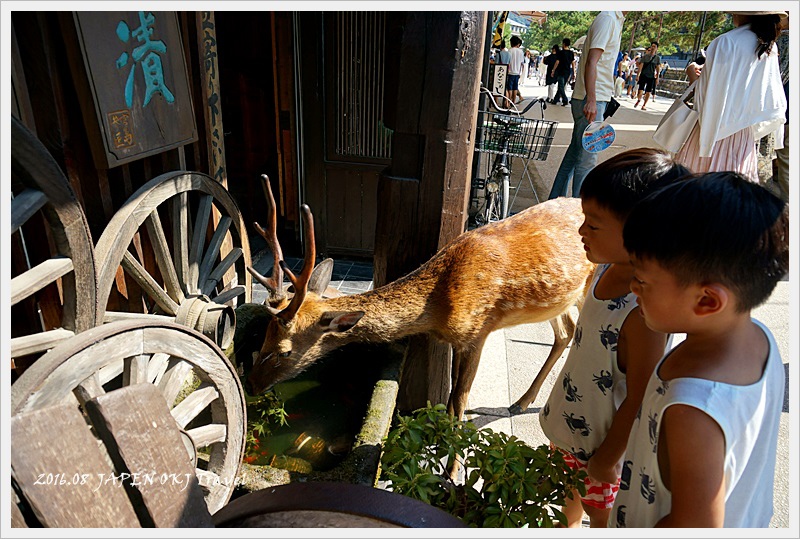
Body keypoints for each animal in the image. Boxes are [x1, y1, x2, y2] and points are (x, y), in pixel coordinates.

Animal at [245, 175, 592, 424]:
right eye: (262, 337)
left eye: (284, 352)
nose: (251, 385)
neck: (440, 305)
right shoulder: (457, 341)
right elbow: (451, 401)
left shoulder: (478, 331)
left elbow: (459, 402)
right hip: (559, 298)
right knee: (565, 332)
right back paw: (520, 402)